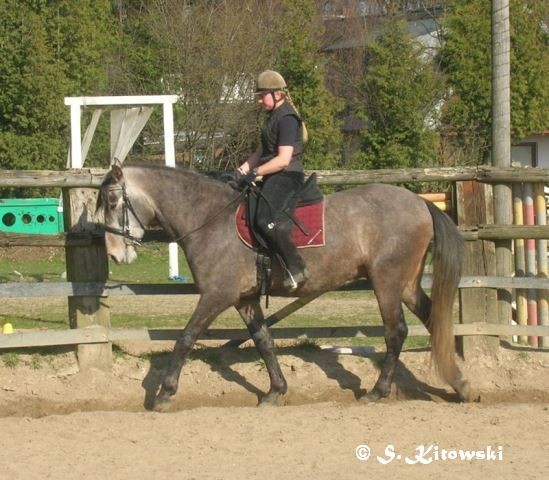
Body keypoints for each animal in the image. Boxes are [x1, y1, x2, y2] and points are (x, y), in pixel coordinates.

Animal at [96, 162, 468, 408]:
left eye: (113, 203)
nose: (113, 255)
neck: (209, 217)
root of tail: (420, 202)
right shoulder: (244, 299)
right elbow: (263, 340)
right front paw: (276, 390)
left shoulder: (217, 295)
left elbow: (186, 338)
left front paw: (164, 393)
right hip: (405, 283)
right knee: (433, 320)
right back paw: (460, 383)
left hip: (387, 281)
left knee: (396, 332)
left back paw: (379, 391)